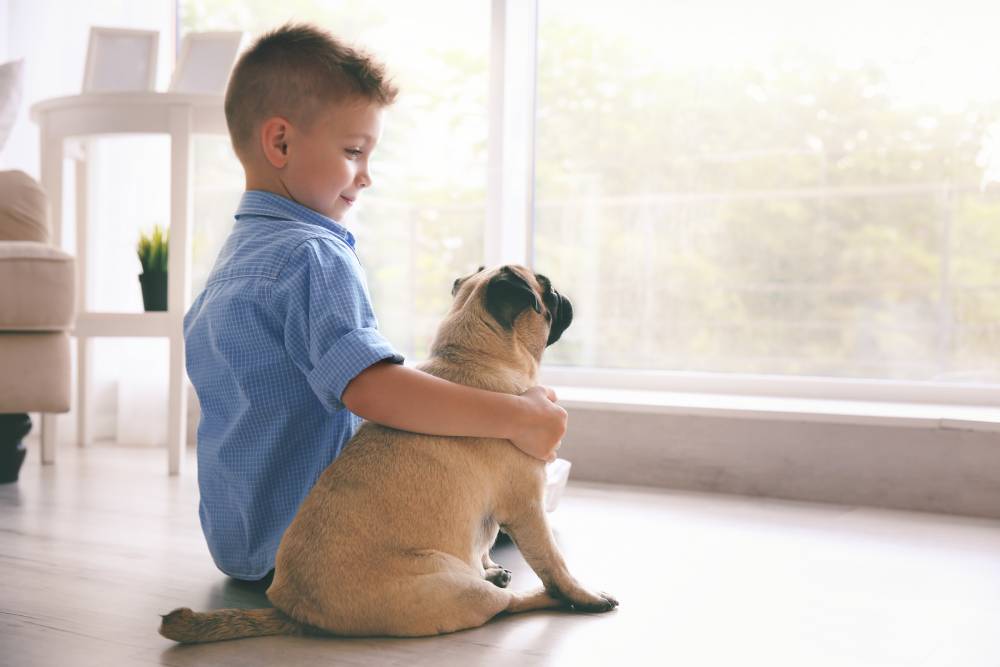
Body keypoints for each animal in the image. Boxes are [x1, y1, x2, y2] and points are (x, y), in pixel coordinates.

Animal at [160, 264, 616, 640]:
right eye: (548, 291)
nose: (562, 295)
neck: (472, 355)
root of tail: (297, 614)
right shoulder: (528, 510)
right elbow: (555, 563)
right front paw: (581, 595)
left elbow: (484, 543)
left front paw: (490, 563)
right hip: (456, 585)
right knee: (509, 603)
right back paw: (551, 599)